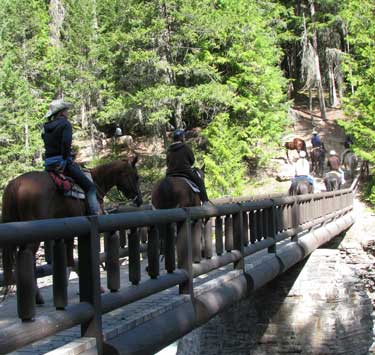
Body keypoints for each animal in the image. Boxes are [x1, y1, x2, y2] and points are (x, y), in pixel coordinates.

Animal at [1, 157, 142, 304]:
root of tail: (15, 183)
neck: (96, 181)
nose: (139, 200)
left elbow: (69, 258)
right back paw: (37, 296)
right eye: (137, 177)